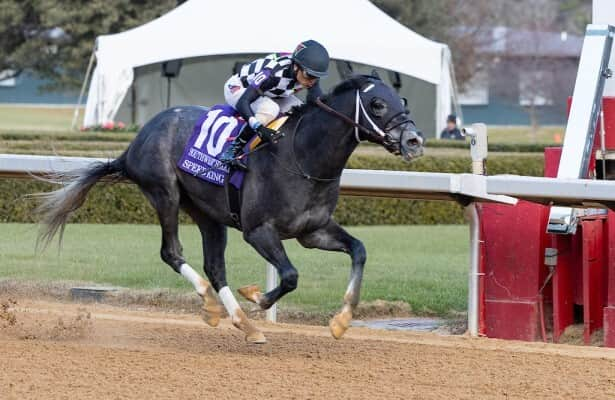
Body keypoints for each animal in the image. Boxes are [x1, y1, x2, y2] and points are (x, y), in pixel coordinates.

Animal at [37, 75, 424, 344]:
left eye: (402, 99)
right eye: (377, 104)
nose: (414, 140)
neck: (302, 156)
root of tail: (133, 144)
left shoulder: (313, 230)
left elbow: (359, 250)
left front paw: (342, 320)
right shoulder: (259, 230)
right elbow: (290, 275)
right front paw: (258, 297)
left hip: (209, 215)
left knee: (215, 266)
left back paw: (244, 324)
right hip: (165, 193)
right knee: (171, 251)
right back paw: (214, 305)